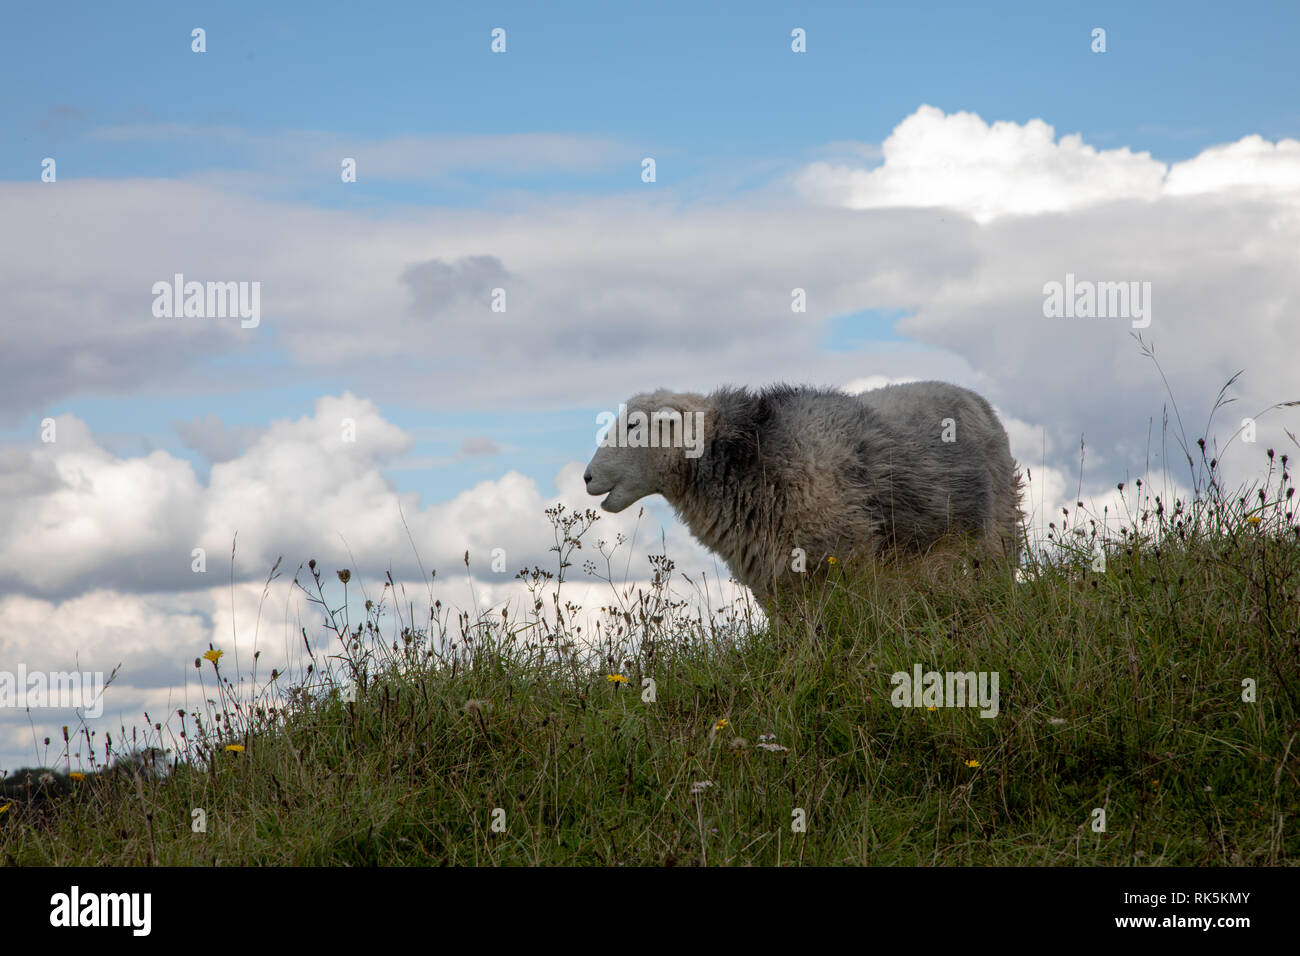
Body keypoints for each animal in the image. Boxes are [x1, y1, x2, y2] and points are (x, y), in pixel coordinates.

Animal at [585, 379, 1019, 598]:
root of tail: (974, 397)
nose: (587, 477)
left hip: (997, 530)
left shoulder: (845, 560)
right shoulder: (771, 577)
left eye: (633, 425)